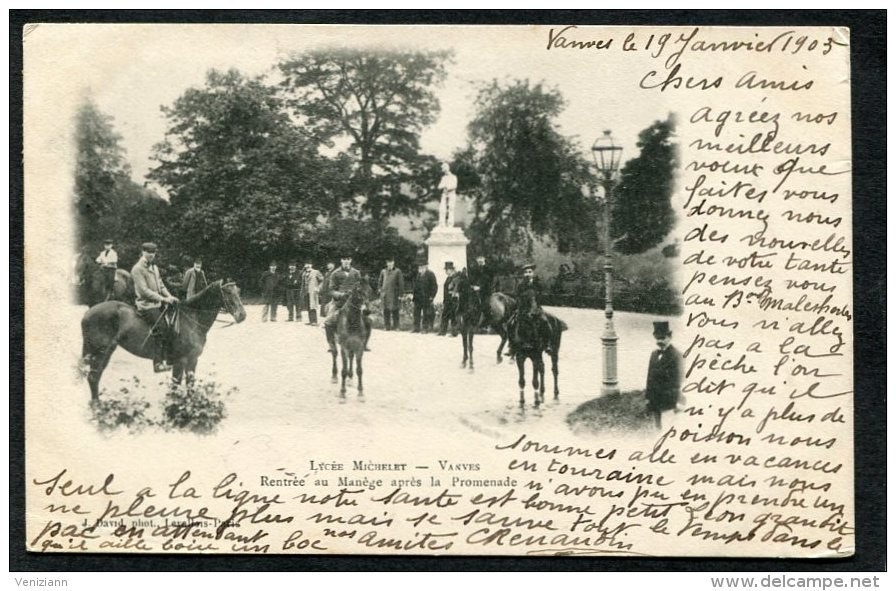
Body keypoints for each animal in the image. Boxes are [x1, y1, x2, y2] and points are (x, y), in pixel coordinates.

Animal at [79, 280, 247, 402]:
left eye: (238, 292)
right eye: (228, 292)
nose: (242, 315)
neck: (191, 320)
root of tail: (87, 314)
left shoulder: (192, 360)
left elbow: (190, 386)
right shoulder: (180, 361)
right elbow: (175, 387)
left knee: (95, 376)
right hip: (101, 352)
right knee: (93, 377)